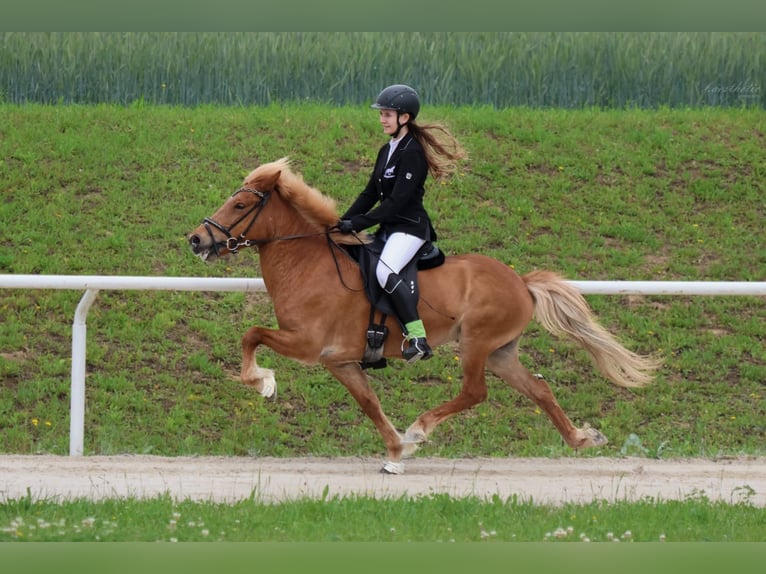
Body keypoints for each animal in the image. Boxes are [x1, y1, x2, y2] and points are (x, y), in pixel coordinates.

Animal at [187, 157, 661, 474]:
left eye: (240, 205)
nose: (196, 240)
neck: (309, 262)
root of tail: (521, 280)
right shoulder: (339, 360)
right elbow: (369, 403)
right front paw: (396, 453)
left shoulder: (306, 343)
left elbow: (251, 333)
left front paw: (262, 382)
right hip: (500, 352)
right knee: (539, 390)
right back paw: (581, 437)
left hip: (476, 344)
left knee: (474, 392)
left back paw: (420, 428)